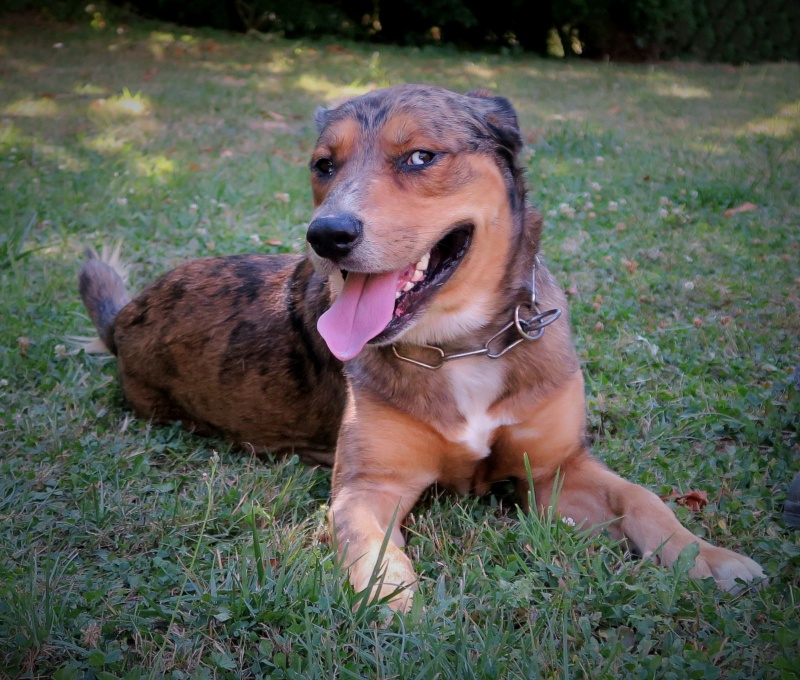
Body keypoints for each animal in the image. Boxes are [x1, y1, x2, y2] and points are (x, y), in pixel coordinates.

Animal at [78, 83, 764, 612]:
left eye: (419, 157)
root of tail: (125, 317)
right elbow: (367, 541)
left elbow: (643, 499)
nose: (325, 235)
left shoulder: (555, 471)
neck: (460, 345)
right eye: (323, 165)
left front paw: (709, 556)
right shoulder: (369, 485)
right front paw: (390, 599)